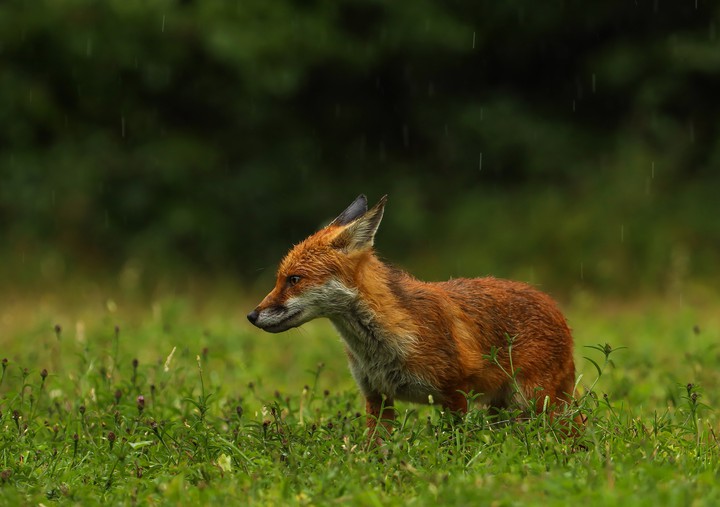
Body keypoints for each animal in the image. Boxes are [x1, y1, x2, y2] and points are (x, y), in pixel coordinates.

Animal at [247, 194, 581, 437]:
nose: (252, 315)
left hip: (533, 403)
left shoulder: (455, 394)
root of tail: (554, 305)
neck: (381, 346)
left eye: (294, 279)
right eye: (280, 279)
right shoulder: (377, 397)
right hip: (502, 409)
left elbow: (454, 445)